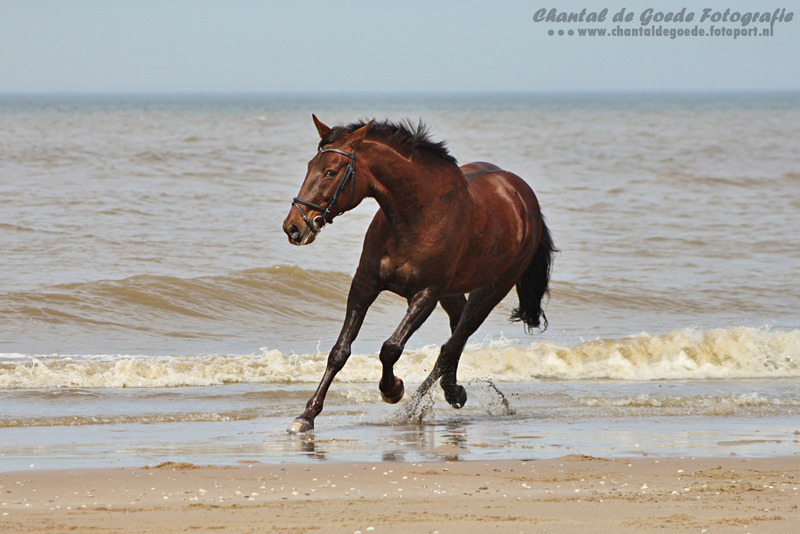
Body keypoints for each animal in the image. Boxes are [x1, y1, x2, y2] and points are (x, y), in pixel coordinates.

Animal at [282, 115, 556, 433]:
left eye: (330, 172)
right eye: (309, 166)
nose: (294, 227)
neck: (416, 216)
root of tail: (524, 197)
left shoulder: (426, 294)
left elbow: (390, 348)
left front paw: (393, 390)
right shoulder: (364, 286)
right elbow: (339, 352)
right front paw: (306, 416)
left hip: (489, 292)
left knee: (451, 345)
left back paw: (416, 407)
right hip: (454, 293)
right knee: (455, 340)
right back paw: (452, 391)